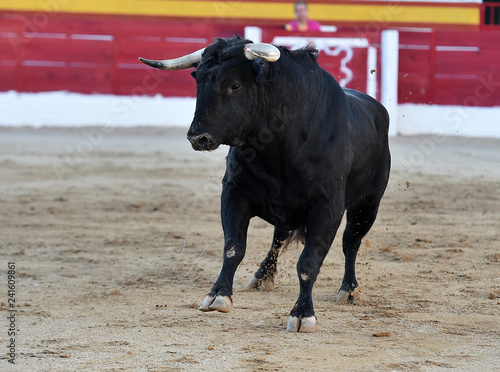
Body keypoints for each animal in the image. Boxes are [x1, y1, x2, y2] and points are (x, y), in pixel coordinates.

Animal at [141, 37, 390, 332]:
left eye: (235, 85)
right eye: (199, 81)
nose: (197, 137)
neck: (280, 145)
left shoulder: (327, 207)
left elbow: (309, 262)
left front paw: (303, 314)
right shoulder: (233, 193)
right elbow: (233, 248)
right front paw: (218, 296)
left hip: (368, 204)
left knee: (351, 242)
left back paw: (349, 289)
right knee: (278, 237)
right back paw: (262, 276)